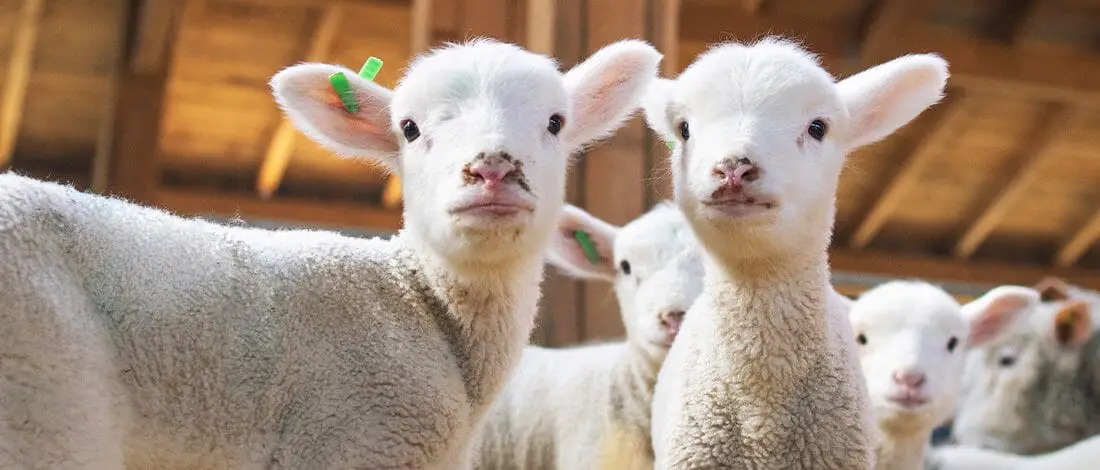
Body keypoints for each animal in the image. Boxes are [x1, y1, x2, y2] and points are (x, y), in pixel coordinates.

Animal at [0, 38, 661, 469]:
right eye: (409, 129)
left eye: (555, 122)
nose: (492, 170)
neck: (421, 302)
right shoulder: (354, 433)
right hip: (47, 401)